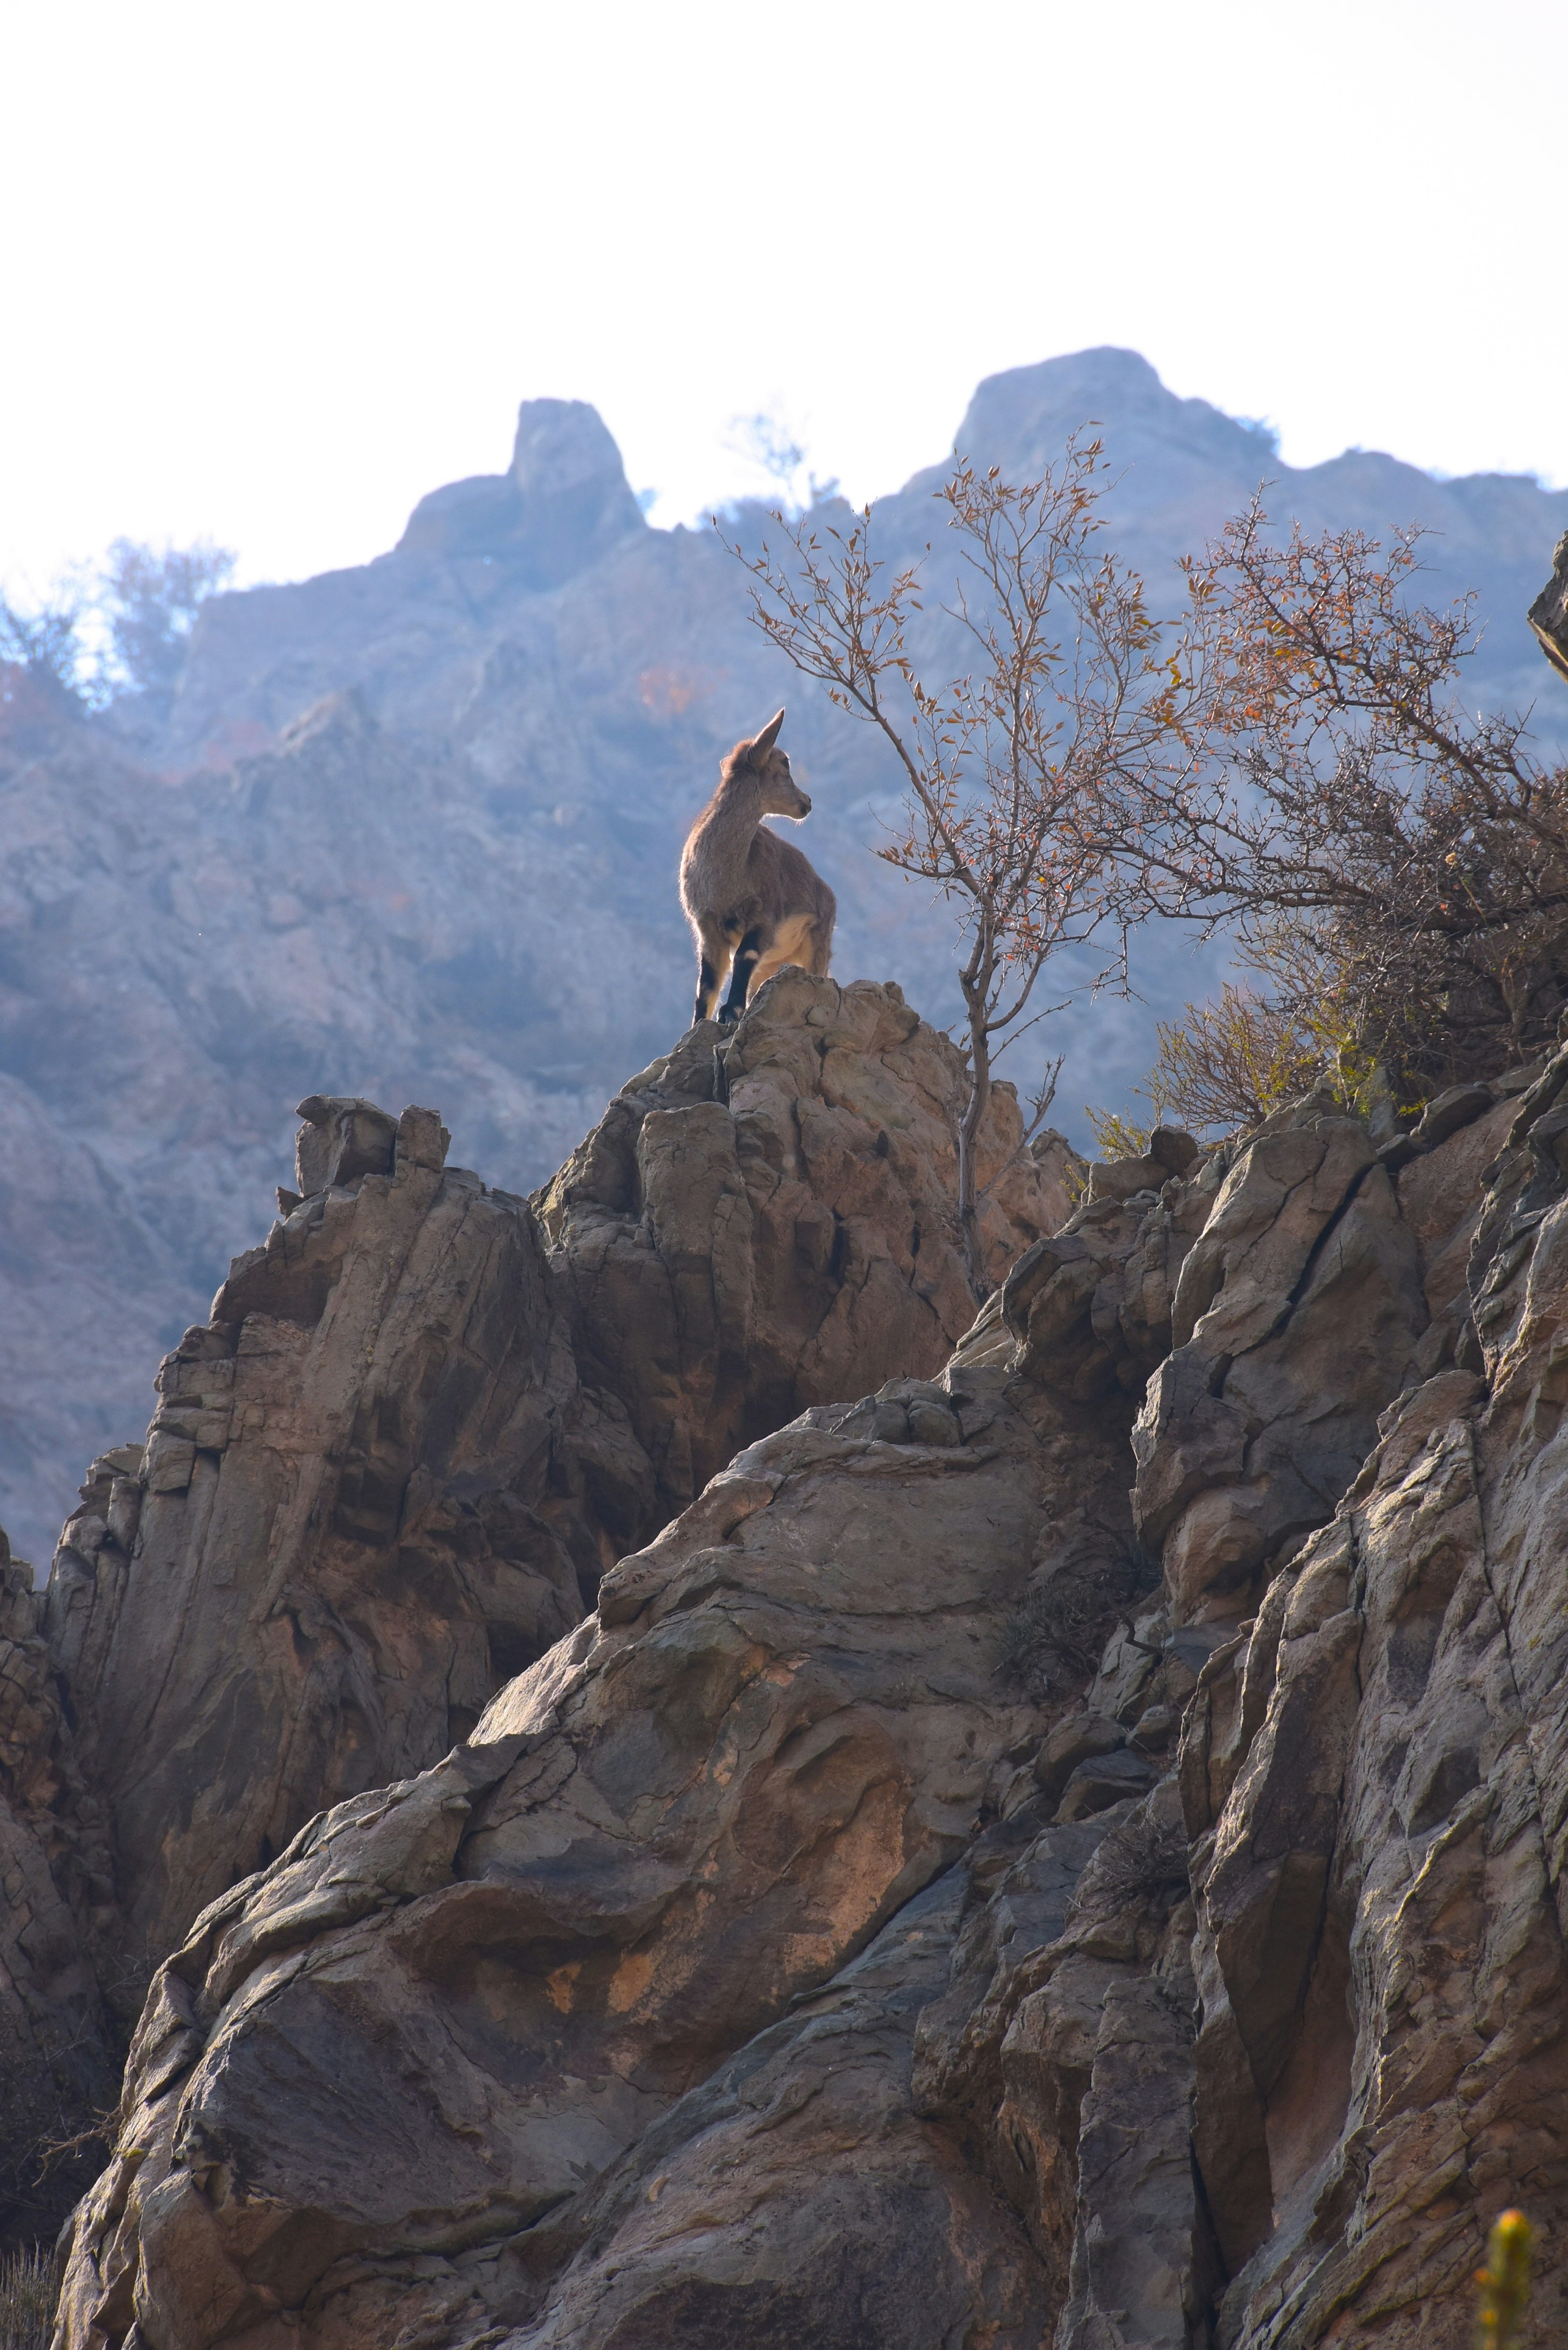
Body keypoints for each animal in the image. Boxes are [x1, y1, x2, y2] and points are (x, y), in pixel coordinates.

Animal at [682, 700, 842, 1025]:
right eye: (785, 763)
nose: (807, 802)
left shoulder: (764, 917)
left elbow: (744, 958)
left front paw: (731, 1012)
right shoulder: (707, 927)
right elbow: (707, 983)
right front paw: (700, 1023)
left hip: (817, 942)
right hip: (774, 963)